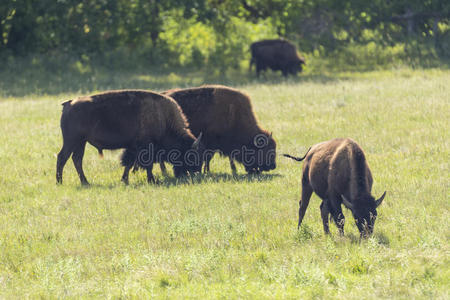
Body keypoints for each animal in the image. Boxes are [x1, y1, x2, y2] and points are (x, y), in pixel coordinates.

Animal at [55, 88, 202, 185]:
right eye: (190, 155)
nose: (196, 172)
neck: (163, 118)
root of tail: (68, 103)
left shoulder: (133, 148)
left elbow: (129, 163)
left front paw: (124, 180)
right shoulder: (146, 147)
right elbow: (147, 165)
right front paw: (151, 180)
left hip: (81, 142)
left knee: (76, 159)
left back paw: (85, 182)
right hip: (72, 141)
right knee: (63, 157)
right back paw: (60, 182)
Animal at [125, 84, 276, 175]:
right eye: (265, 150)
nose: (272, 166)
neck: (233, 114)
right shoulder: (211, 142)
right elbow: (211, 157)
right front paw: (207, 171)